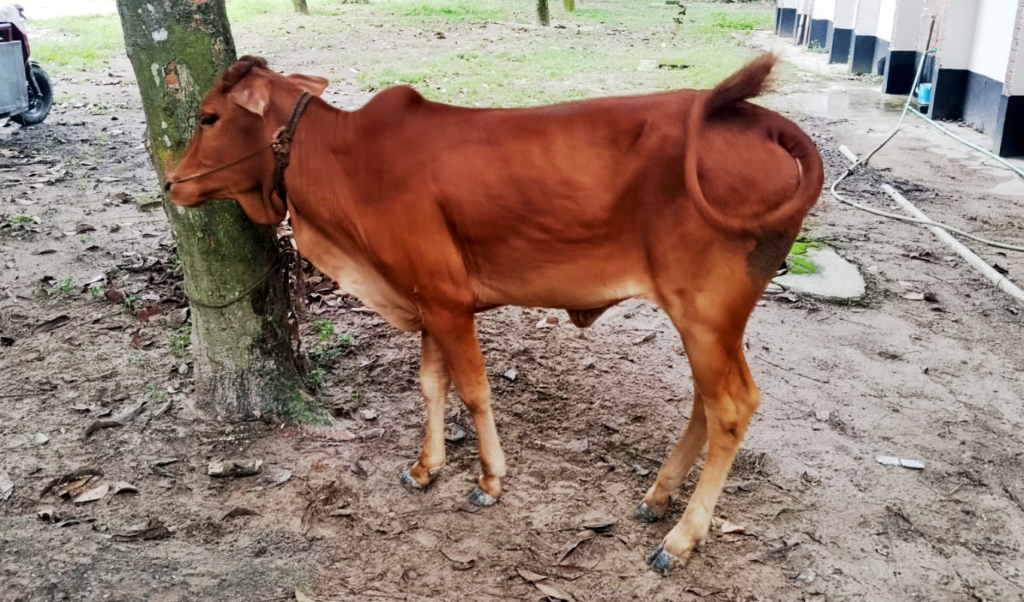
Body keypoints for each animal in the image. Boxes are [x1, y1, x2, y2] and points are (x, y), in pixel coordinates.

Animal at [166, 53, 824, 573]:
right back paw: (659, 497)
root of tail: (760, 118)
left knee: (731, 407)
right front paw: (425, 467)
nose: (173, 184)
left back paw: (681, 538)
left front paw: (489, 480)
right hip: (708, 321)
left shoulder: (448, 301)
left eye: (209, 117)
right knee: (706, 404)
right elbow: (432, 384)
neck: (343, 161)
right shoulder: (428, 299)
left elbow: (475, 389)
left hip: (707, 311)